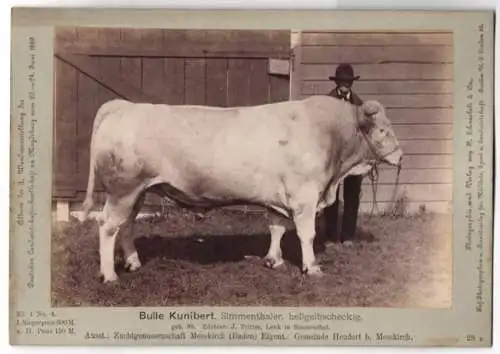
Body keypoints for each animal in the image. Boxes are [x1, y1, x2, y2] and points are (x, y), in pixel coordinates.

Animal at [81, 96, 402, 282]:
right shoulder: (304, 196)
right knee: (107, 226)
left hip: (137, 192)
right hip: (123, 190)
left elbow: (276, 227)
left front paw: (273, 260)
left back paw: (133, 263)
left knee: (127, 226)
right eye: (383, 130)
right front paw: (312, 268)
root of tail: (125, 106)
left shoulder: (279, 196)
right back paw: (109, 274)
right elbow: (306, 234)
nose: (401, 155)